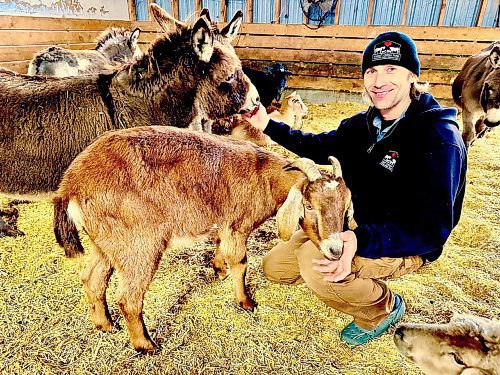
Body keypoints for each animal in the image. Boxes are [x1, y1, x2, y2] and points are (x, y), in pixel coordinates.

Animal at [53, 128, 352, 354]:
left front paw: (218, 270)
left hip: (104, 242)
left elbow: (220, 248)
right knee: (128, 297)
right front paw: (246, 302)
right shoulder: (237, 225)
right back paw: (146, 345)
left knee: (92, 278)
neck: (262, 175)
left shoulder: (222, 224)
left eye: (345, 206)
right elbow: (240, 263)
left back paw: (104, 325)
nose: (336, 249)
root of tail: (71, 185)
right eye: (309, 206)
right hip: (139, 245)